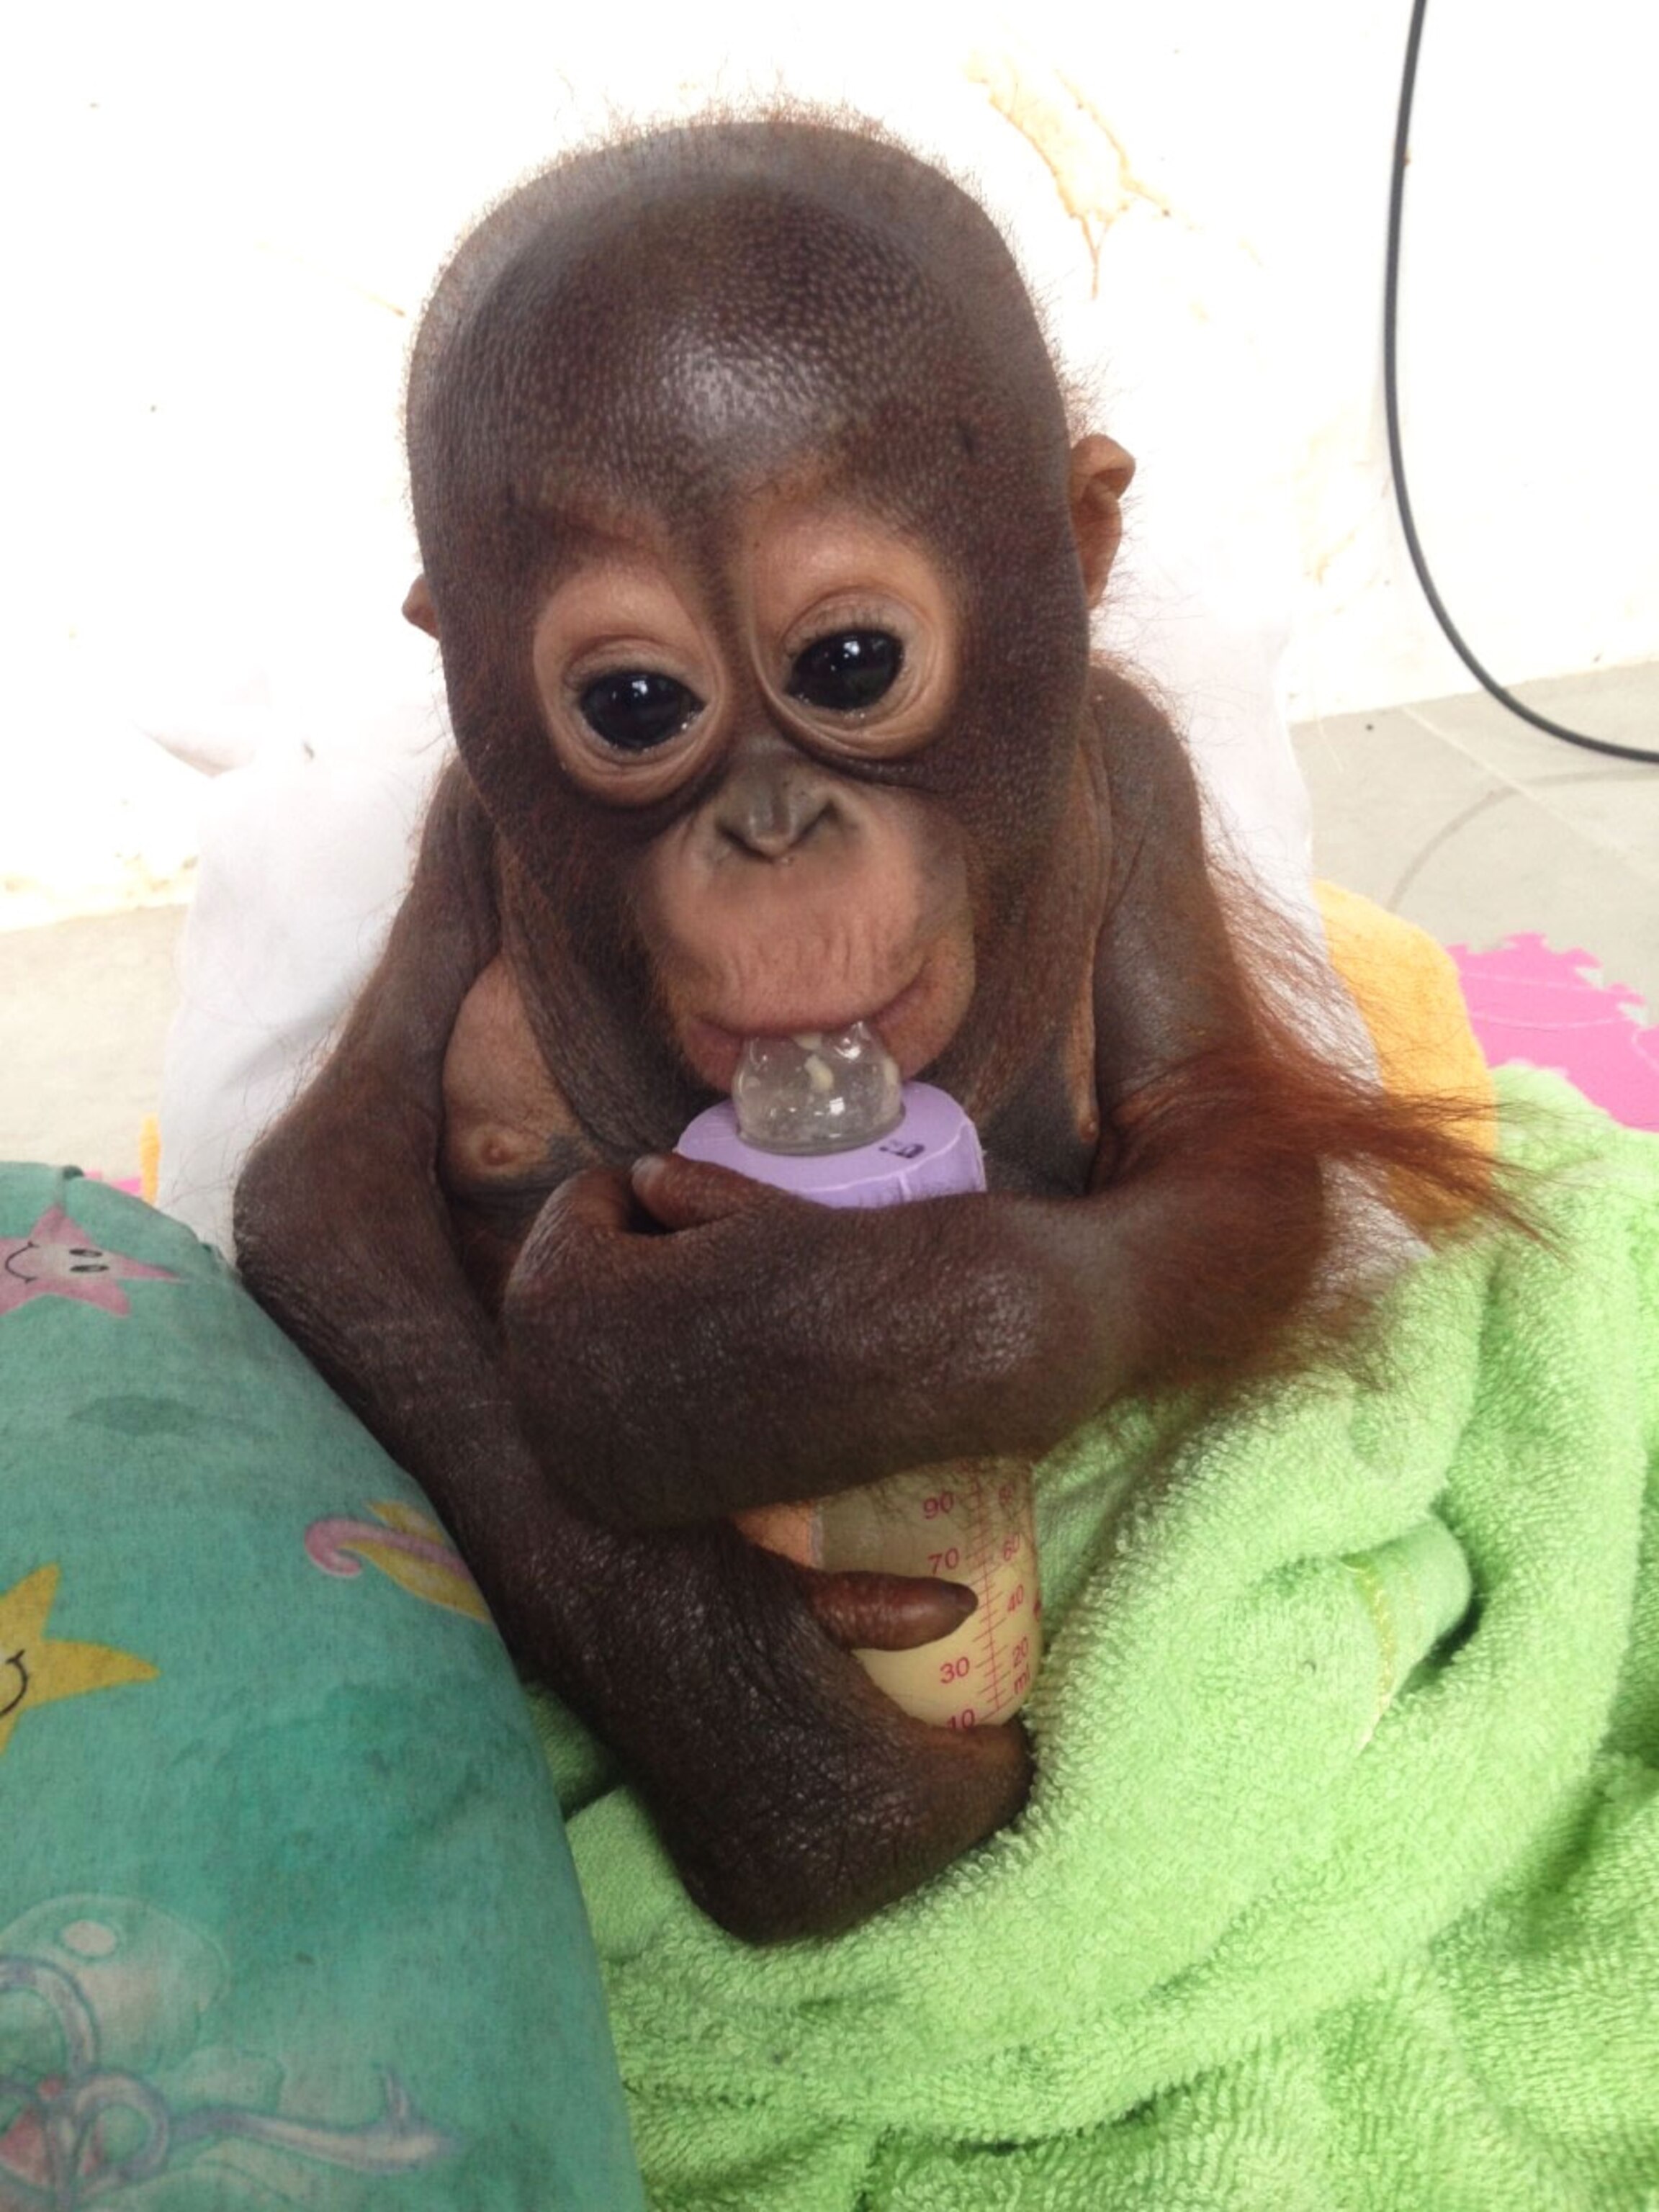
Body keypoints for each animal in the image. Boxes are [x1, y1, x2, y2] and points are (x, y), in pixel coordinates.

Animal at [234, 116, 1498, 1944]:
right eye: (634, 706)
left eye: (849, 663)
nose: (770, 830)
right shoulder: (460, 835)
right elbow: (327, 1193)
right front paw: (794, 1741)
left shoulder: (1145, 774)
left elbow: (1226, 1153)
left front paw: (782, 1340)